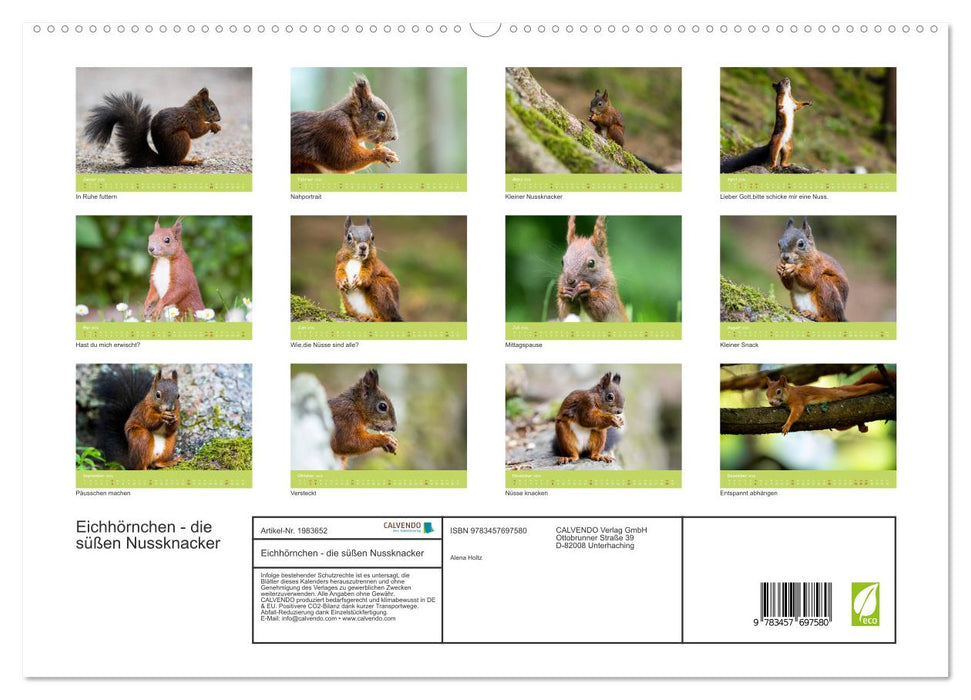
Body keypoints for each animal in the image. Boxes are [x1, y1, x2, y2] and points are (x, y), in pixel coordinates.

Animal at [84, 88, 221, 167]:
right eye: (212, 108)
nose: (219, 119)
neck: (195, 110)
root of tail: (163, 158)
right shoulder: (191, 119)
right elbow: (196, 131)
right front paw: (214, 126)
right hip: (181, 138)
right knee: (175, 162)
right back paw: (190, 161)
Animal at [765, 369, 895, 435]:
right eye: (766, 394)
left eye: (778, 391)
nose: (771, 403)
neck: (790, 392)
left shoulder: (798, 400)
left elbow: (796, 412)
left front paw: (787, 425)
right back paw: (862, 426)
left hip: (849, 391)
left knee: (870, 387)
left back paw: (886, 386)